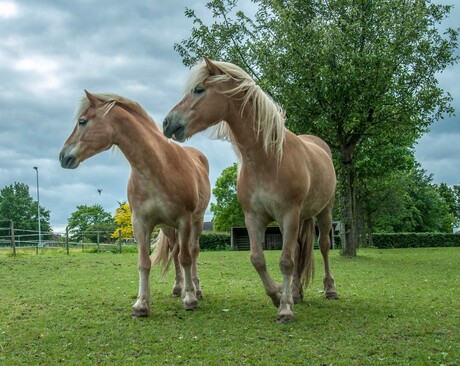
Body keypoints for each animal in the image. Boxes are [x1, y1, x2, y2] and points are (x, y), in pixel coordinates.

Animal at [163, 58, 338, 324]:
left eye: (199, 89)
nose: (167, 123)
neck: (268, 158)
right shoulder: (253, 218)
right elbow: (258, 259)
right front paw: (278, 295)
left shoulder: (288, 215)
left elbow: (286, 261)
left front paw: (285, 309)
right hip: (301, 219)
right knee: (299, 251)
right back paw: (296, 292)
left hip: (324, 212)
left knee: (325, 246)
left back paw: (329, 290)